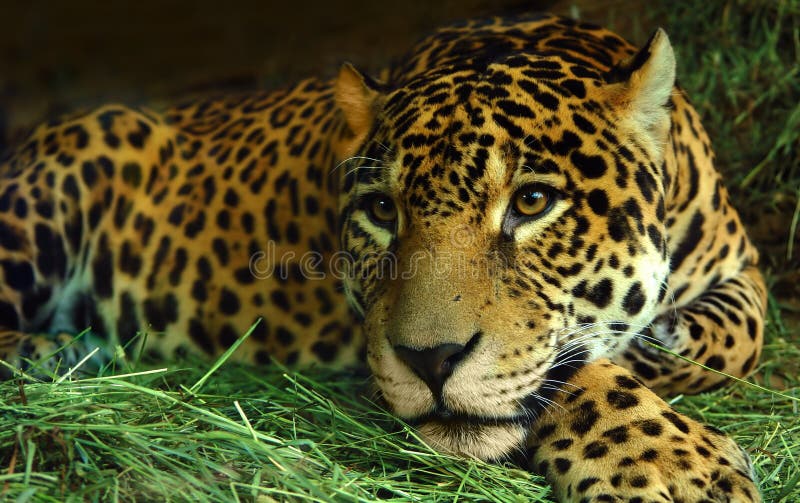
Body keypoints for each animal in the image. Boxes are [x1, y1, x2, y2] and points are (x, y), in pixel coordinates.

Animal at [0, 13, 766, 502]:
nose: (430, 361)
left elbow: (730, 340)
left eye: (532, 201)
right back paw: (65, 354)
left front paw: (662, 350)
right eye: (382, 211)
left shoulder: (743, 271)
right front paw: (671, 465)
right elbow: (574, 371)